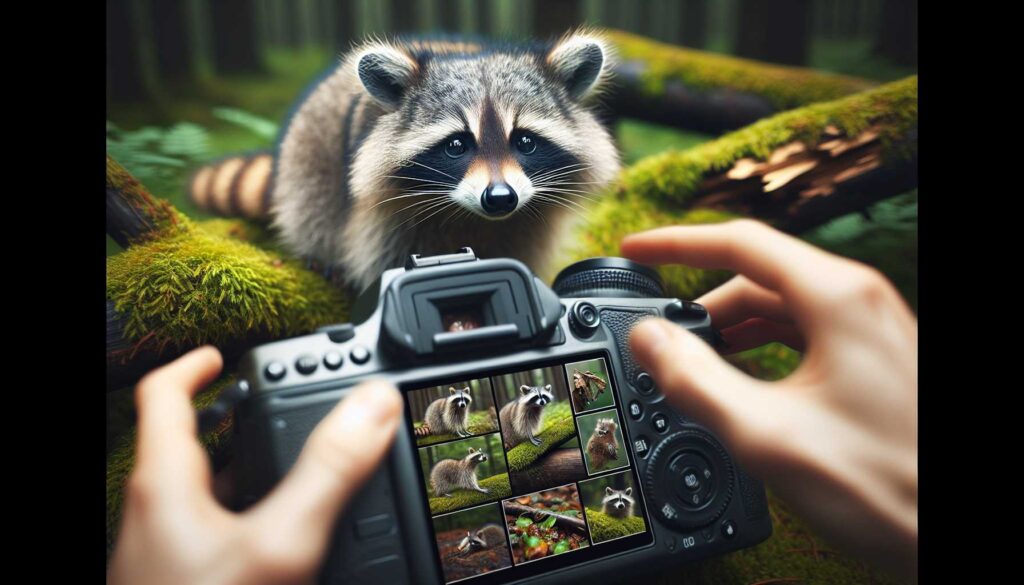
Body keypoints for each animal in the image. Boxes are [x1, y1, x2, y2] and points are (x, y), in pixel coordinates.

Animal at [188, 31, 621, 291]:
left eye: (526, 141)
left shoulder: (531, 218)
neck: (474, 217)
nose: (500, 198)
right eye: (457, 145)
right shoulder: (385, 216)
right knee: (312, 199)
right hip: (309, 146)